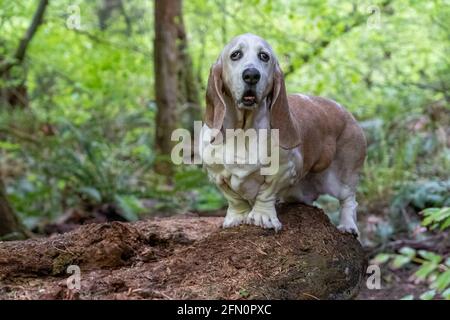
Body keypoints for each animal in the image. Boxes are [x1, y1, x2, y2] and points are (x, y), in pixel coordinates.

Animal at [200, 33, 366, 235]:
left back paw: (348, 226)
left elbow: (266, 194)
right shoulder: (217, 175)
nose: (251, 75)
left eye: (264, 56)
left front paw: (262, 217)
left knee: (349, 200)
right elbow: (234, 199)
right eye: (235, 54)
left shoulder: (282, 170)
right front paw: (237, 218)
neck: (243, 130)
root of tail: (346, 112)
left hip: (341, 179)